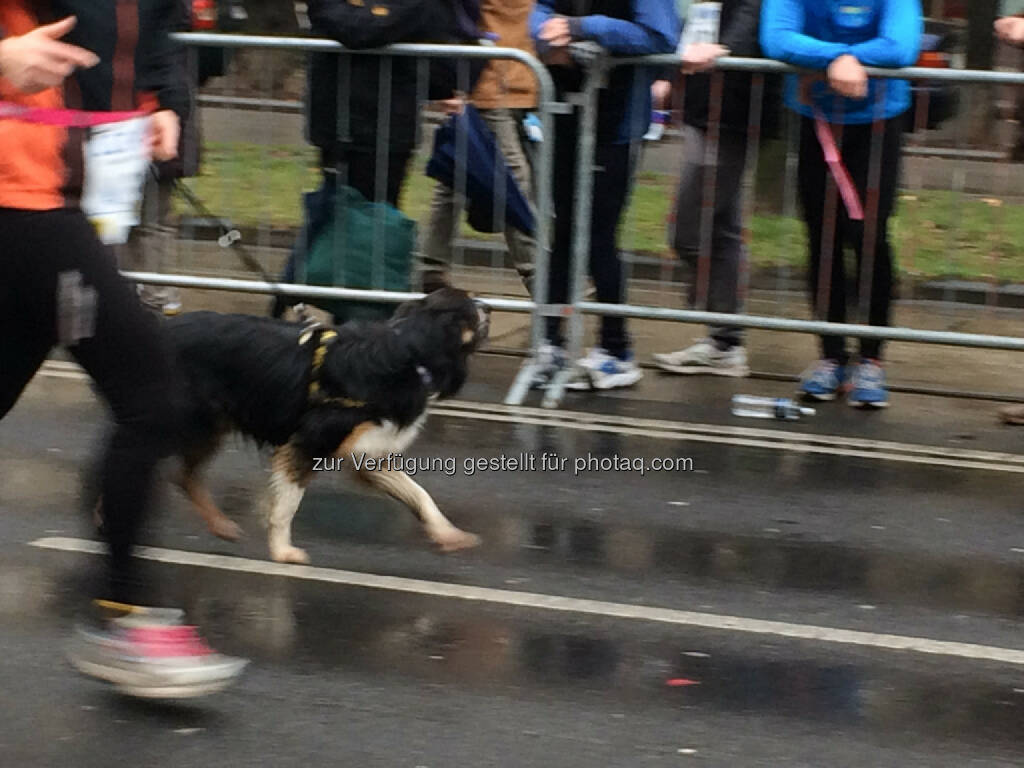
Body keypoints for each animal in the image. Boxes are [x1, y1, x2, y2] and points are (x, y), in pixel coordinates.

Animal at [161, 288, 489, 565]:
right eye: (471, 308)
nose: (488, 305)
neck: (409, 352)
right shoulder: (309, 443)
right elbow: (287, 505)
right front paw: (282, 551)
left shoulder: (368, 452)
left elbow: (420, 494)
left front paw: (448, 534)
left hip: (208, 427)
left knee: (185, 477)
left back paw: (220, 525)